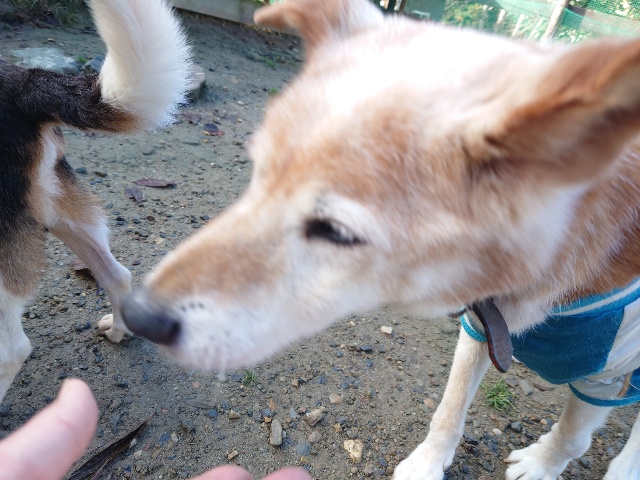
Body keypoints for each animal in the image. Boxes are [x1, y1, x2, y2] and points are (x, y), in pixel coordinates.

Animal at [120, 0, 640, 478]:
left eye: (336, 232)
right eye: (258, 176)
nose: (137, 315)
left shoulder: (610, 373)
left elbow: (572, 435)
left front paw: (541, 465)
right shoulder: (482, 326)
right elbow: (449, 408)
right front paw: (426, 465)